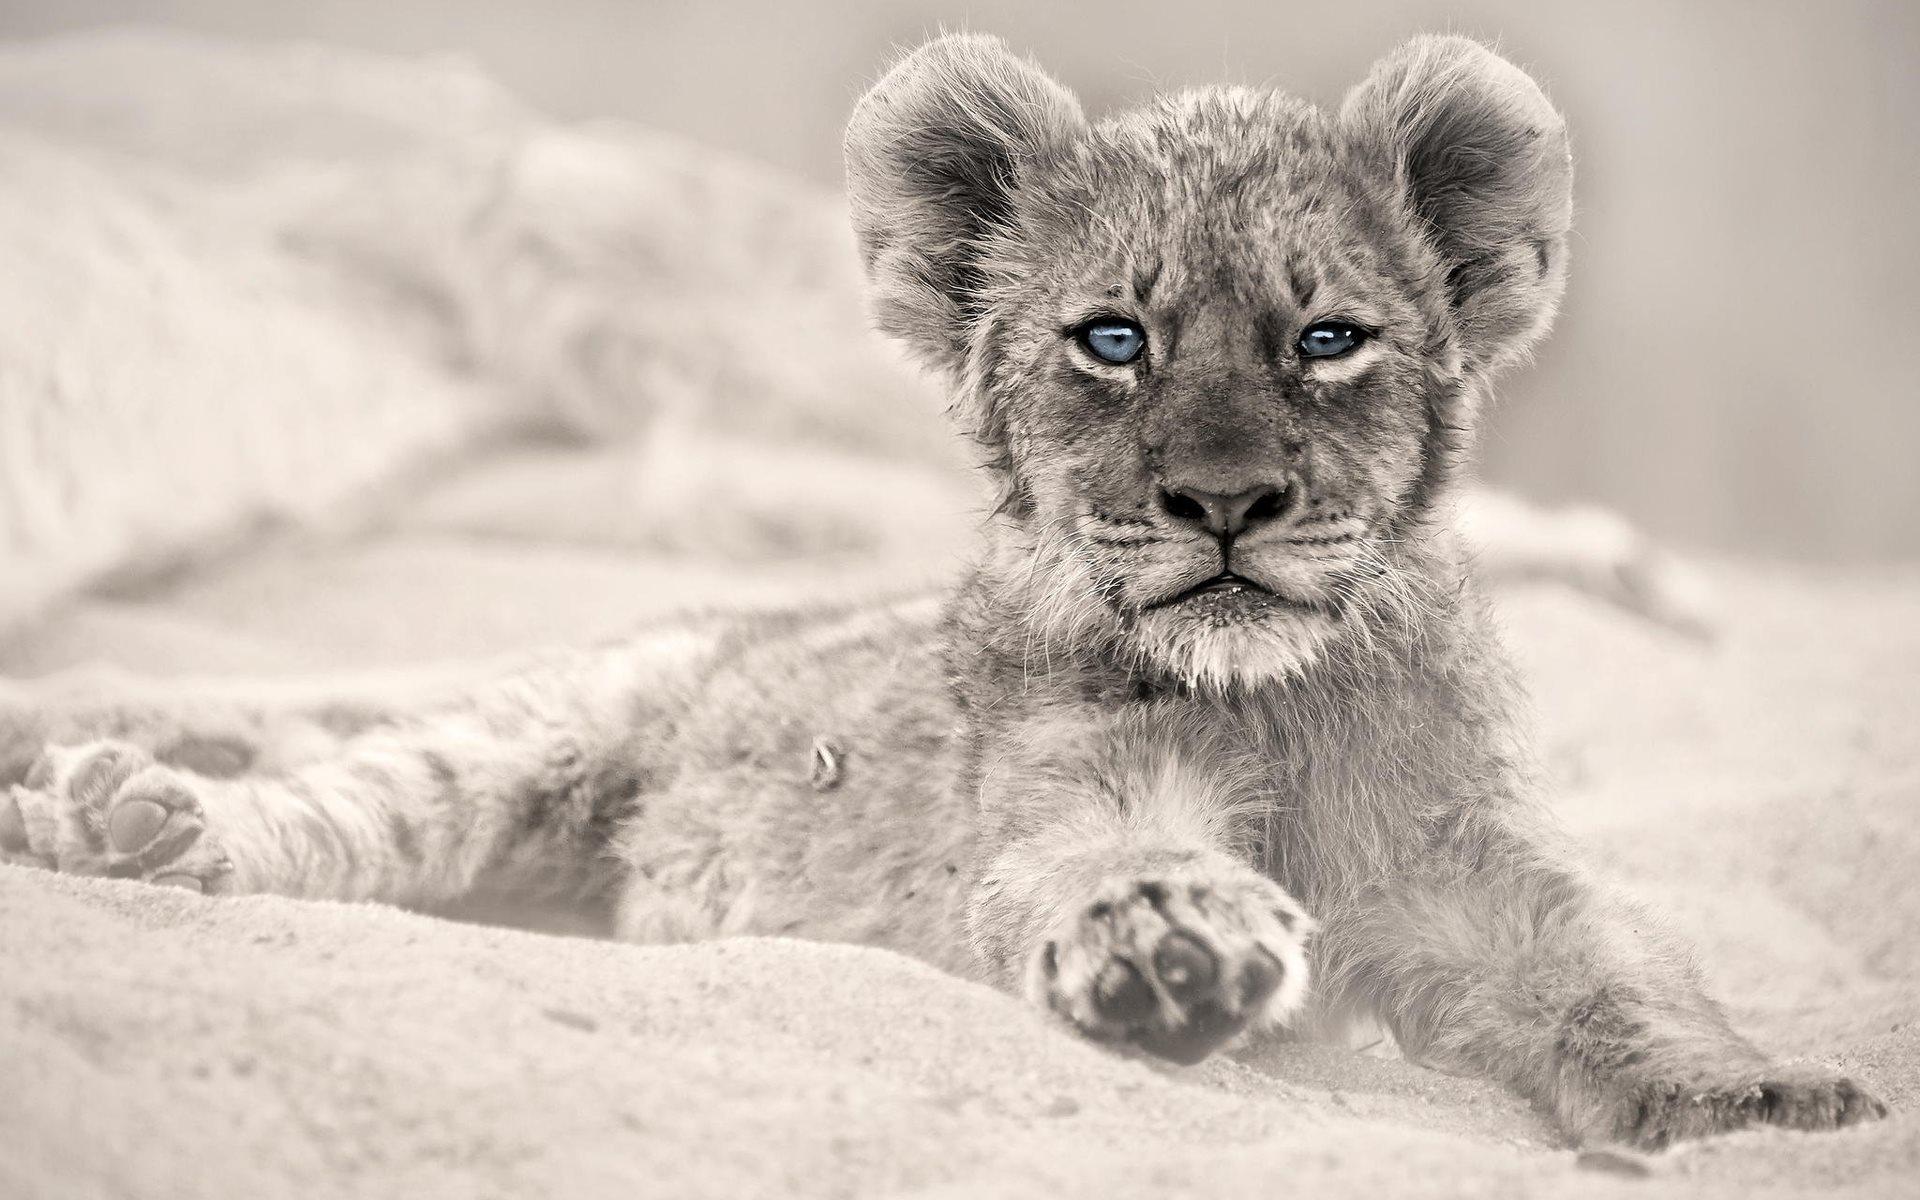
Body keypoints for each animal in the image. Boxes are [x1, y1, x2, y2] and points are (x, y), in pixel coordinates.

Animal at [0, 33, 1885, 1149]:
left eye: (1327, 339)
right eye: (1111, 341)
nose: (1224, 501)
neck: (1278, 699)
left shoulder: (1466, 871)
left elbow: (1610, 969)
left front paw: (1754, 1100)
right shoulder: (1051, 804)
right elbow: (1095, 860)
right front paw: (1168, 946)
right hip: (532, 730)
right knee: (337, 813)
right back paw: (133, 824)